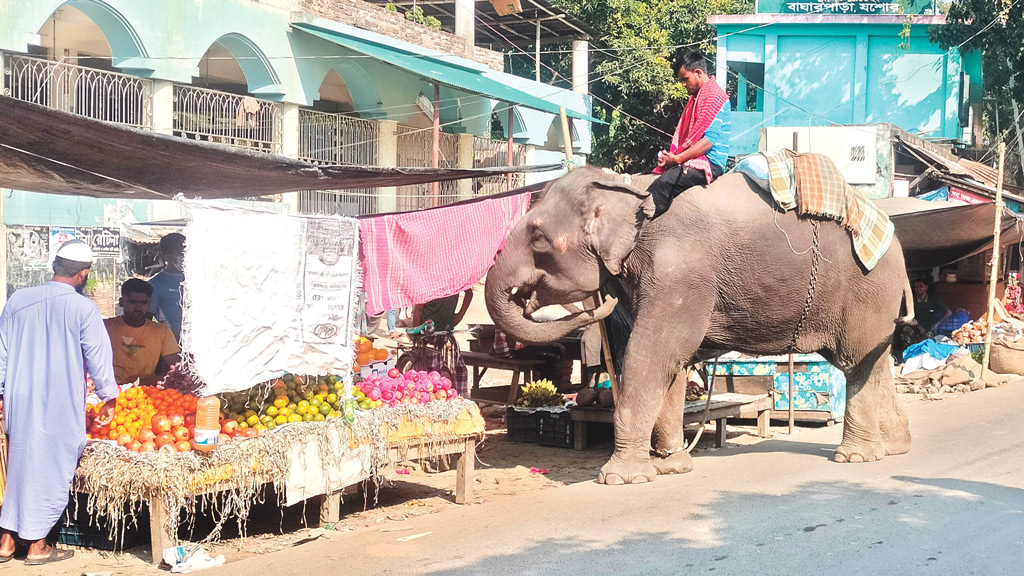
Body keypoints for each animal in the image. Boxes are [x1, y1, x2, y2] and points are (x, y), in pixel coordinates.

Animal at [483, 163, 917, 481]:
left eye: (537, 237)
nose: (600, 304)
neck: (627, 187)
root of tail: (895, 240)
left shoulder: (679, 272)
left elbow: (651, 354)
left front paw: (621, 479)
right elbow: (672, 365)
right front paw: (671, 467)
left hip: (865, 287)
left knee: (855, 363)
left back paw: (856, 457)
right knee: (875, 361)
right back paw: (892, 449)